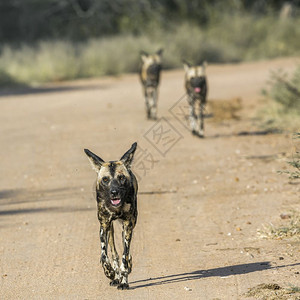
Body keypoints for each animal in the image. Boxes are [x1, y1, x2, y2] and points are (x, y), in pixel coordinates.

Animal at [83, 143, 137, 290]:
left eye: (121, 178)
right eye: (105, 179)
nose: (114, 192)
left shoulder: (128, 224)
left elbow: (125, 255)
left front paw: (124, 280)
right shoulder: (104, 225)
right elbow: (104, 255)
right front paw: (110, 272)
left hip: (128, 226)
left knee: (124, 253)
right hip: (110, 229)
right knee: (114, 252)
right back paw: (116, 276)